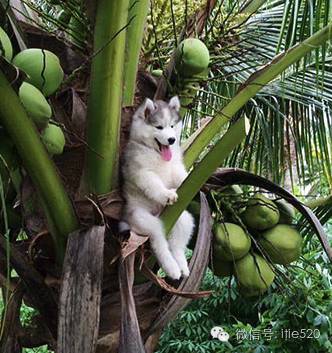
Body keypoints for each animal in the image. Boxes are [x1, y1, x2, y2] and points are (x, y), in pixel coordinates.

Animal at [122, 95, 195, 278]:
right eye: (159, 127)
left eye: (172, 126)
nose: (171, 140)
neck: (156, 153)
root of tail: (159, 213)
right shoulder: (142, 172)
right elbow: (154, 184)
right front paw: (167, 194)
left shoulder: (175, 168)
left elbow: (181, 177)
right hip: (142, 218)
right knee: (159, 241)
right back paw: (172, 268)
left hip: (183, 218)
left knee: (177, 244)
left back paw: (182, 266)